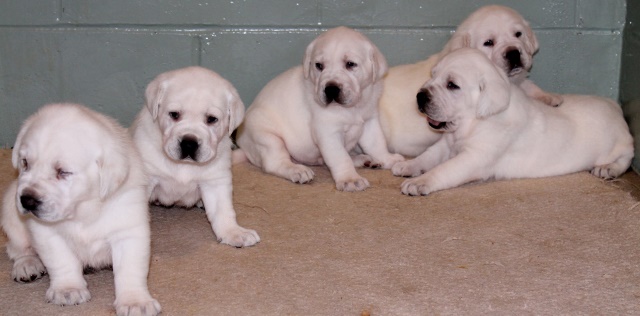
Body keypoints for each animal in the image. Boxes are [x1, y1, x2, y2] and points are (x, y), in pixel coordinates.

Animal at [1, 103, 161, 314]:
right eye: (25, 162)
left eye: (63, 172)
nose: (27, 200)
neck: (82, 211)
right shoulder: (47, 234)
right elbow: (62, 261)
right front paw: (68, 290)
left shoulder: (128, 230)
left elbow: (130, 269)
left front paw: (135, 302)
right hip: (10, 213)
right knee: (17, 248)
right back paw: (27, 265)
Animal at [130, 66, 260, 248]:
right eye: (174, 114)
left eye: (212, 119)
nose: (189, 144)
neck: (184, 165)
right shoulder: (146, 178)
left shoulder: (216, 181)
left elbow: (223, 211)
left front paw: (233, 232)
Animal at [235, 25, 404, 191]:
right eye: (319, 66)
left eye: (350, 64)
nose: (331, 89)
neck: (353, 107)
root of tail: (244, 147)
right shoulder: (328, 132)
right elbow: (340, 157)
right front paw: (350, 179)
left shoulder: (370, 122)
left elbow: (377, 144)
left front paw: (388, 158)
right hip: (267, 137)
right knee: (275, 162)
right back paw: (297, 170)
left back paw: (364, 159)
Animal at [392, 47, 632, 195]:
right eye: (433, 75)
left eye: (452, 85)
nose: (420, 96)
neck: (474, 122)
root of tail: (615, 106)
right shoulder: (445, 144)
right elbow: (428, 155)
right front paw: (408, 165)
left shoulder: (475, 158)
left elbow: (444, 169)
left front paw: (419, 182)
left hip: (619, 143)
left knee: (626, 157)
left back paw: (608, 169)